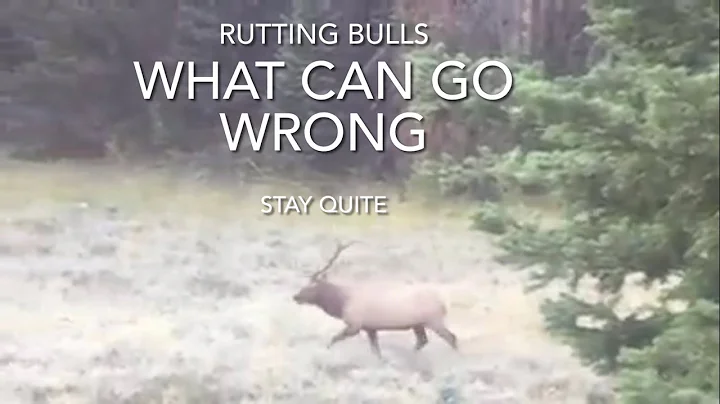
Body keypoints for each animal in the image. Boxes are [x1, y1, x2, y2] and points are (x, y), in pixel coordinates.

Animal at [292, 241, 458, 357]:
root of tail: (444, 304)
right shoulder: (370, 328)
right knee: (422, 341)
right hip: (418, 324)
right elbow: (376, 351)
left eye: (311, 287)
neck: (341, 303)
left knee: (451, 337)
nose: (296, 296)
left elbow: (333, 339)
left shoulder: (355, 325)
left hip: (433, 320)